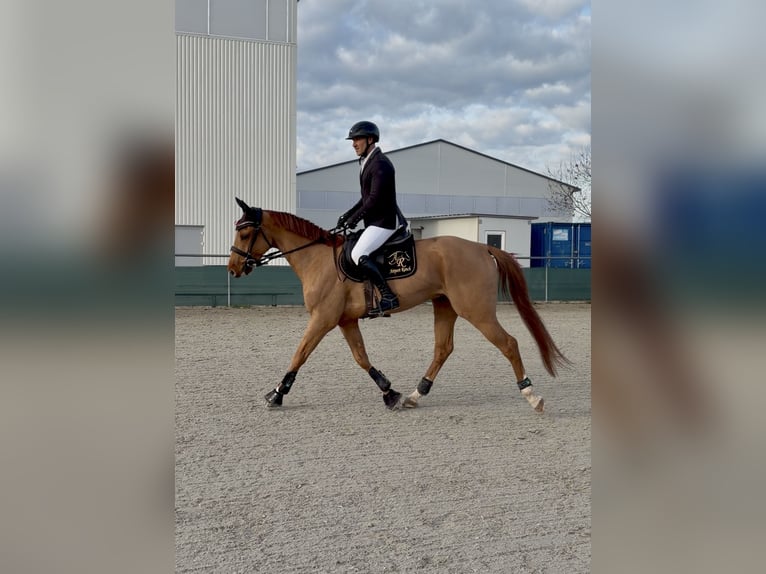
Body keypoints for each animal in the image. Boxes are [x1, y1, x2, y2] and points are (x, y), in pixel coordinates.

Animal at [227, 198, 570, 411]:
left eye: (245, 233)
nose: (232, 268)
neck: (317, 258)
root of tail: (482, 248)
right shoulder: (344, 320)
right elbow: (361, 358)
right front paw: (389, 392)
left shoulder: (323, 318)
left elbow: (299, 353)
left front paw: (276, 395)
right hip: (445, 306)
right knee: (443, 349)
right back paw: (416, 395)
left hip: (476, 311)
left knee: (508, 343)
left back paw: (532, 396)